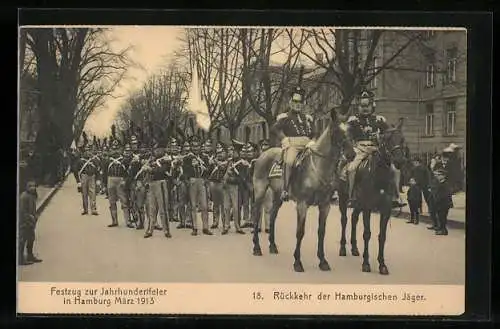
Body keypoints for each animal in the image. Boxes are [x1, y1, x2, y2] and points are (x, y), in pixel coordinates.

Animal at [249, 107, 352, 272]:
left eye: (349, 130)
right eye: (336, 131)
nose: (351, 154)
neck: (317, 168)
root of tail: (262, 155)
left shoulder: (325, 205)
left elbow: (321, 232)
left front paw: (323, 260)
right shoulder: (302, 204)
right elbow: (300, 232)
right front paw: (297, 262)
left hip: (277, 195)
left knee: (272, 216)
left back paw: (272, 245)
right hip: (260, 191)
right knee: (256, 213)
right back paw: (257, 247)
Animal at [336, 120, 406, 274]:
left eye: (402, 139)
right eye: (387, 139)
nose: (399, 161)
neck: (379, 175)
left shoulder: (385, 210)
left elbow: (382, 236)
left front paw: (382, 264)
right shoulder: (367, 208)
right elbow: (367, 233)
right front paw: (366, 263)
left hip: (358, 204)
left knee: (354, 219)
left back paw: (354, 248)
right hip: (344, 198)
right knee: (344, 220)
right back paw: (343, 248)